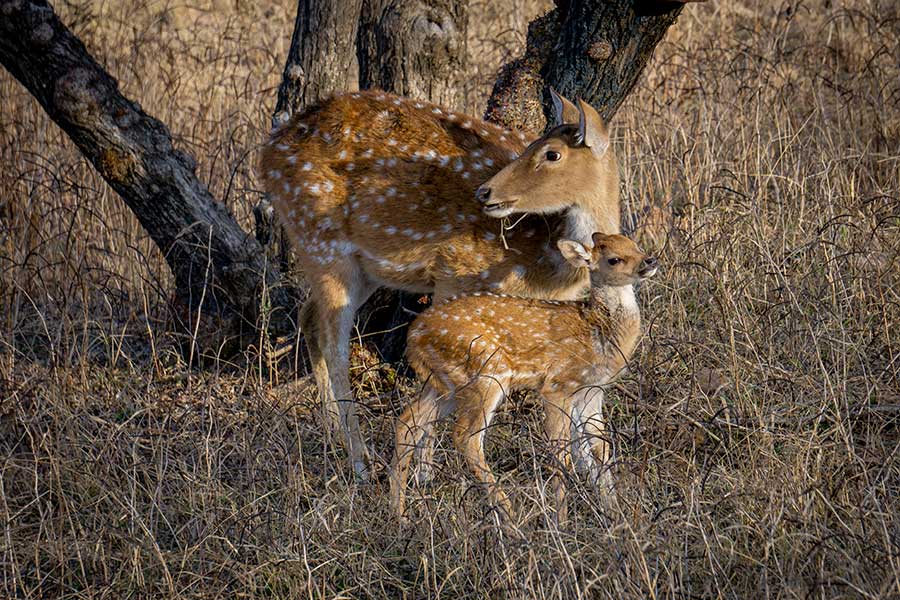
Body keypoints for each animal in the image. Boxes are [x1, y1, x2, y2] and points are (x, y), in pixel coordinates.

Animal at [260, 88, 620, 478]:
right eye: (533, 144)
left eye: (551, 152)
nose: (485, 192)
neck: (542, 256)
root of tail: (267, 153)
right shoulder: (454, 271)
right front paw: (424, 472)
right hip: (322, 242)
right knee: (335, 345)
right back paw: (360, 461)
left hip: (362, 267)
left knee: (309, 316)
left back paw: (333, 436)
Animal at [394, 232, 660, 524]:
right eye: (614, 259)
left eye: (635, 245)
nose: (650, 260)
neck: (598, 335)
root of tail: (413, 336)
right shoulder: (557, 385)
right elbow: (562, 453)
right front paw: (561, 522)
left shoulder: (591, 392)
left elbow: (599, 450)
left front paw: (616, 514)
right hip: (485, 373)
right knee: (466, 437)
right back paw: (510, 518)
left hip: (444, 384)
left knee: (408, 422)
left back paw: (399, 515)